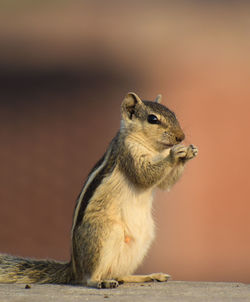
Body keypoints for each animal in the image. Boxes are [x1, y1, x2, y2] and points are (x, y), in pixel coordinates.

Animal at [0, 91, 199, 288]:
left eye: (173, 114)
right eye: (153, 119)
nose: (181, 137)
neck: (153, 149)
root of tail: (74, 268)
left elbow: (165, 184)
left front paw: (189, 152)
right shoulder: (128, 154)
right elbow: (145, 174)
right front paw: (175, 154)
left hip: (140, 242)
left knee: (120, 275)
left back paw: (148, 276)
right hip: (104, 234)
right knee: (89, 278)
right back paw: (101, 282)